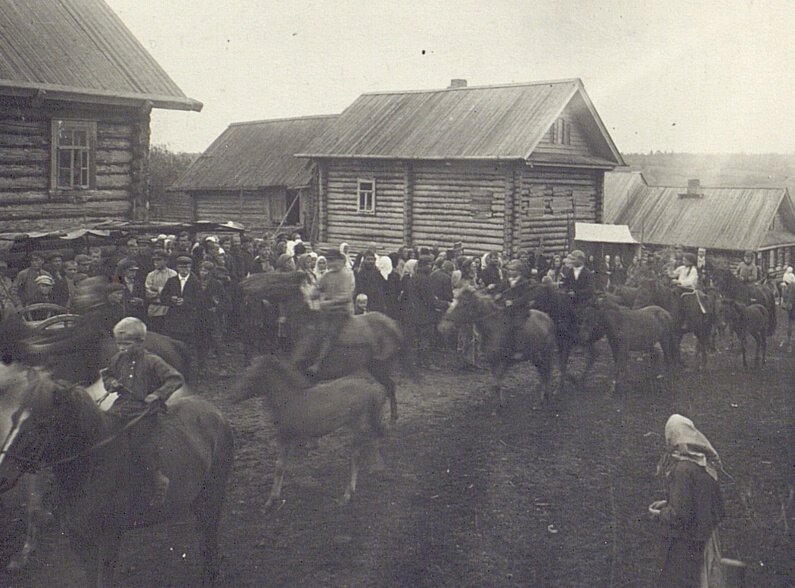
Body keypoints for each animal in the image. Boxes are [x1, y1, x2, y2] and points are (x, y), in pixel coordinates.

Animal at [0, 362, 233, 588]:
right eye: (13, 417)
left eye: (42, 424)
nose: (3, 475)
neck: (91, 466)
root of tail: (215, 412)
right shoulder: (78, 540)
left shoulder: (109, 539)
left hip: (212, 498)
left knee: (209, 543)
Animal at [233, 356, 386, 508]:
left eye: (252, 377)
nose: (232, 396)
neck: (288, 399)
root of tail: (372, 388)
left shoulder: (285, 436)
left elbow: (279, 466)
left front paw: (271, 500)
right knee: (372, 442)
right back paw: (375, 469)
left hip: (358, 425)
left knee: (357, 455)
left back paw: (347, 494)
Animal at [239, 272, 414, 422]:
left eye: (276, 279)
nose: (245, 283)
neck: (305, 324)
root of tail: (394, 324)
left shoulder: (303, 376)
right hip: (374, 366)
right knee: (389, 387)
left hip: (382, 365)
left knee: (390, 387)